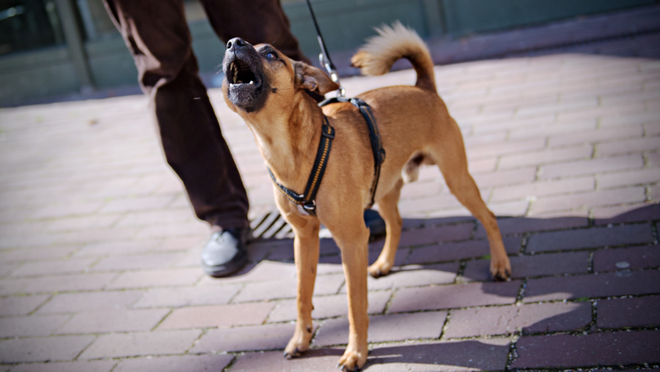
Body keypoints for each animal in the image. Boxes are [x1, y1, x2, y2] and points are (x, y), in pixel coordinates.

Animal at [222, 22, 510, 370]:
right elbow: (303, 295)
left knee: (489, 217)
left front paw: (356, 353)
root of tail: (423, 88)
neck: (287, 150)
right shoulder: (304, 239)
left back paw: (500, 265)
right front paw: (301, 340)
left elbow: (354, 305)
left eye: (270, 54)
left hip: (457, 178)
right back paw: (384, 264)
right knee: (396, 224)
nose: (233, 42)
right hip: (384, 188)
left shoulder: (351, 241)